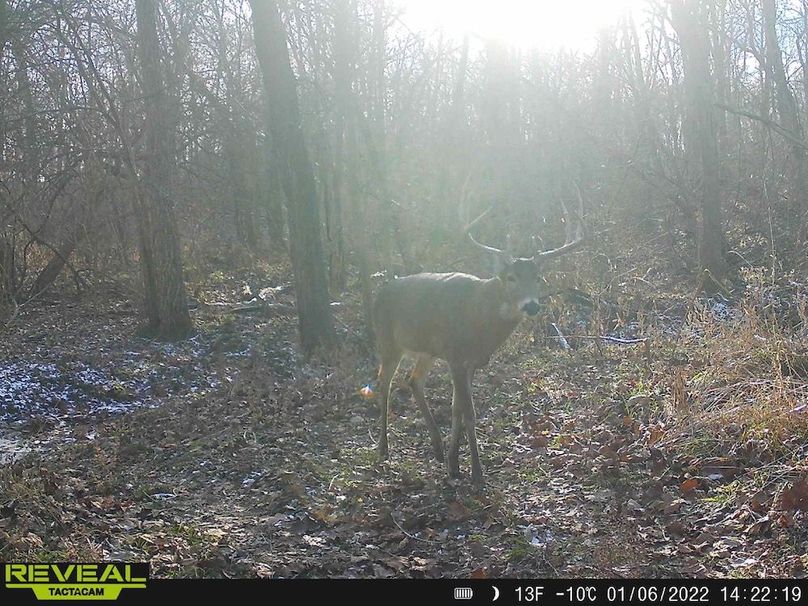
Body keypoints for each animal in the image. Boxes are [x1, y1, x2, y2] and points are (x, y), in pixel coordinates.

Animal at [373, 190, 586, 486]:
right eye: (511, 277)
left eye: (538, 277)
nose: (532, 305)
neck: (479, 321)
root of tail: (378, 293)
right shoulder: (455, 355)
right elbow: (470, 412)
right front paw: (476, 472)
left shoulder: (470, 361)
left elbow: (457, 409)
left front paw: (453, 464)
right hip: (388, 340)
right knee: (384, 384)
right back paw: (384, 448)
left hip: (426, 350)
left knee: (413, 380)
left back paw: (437, 447)